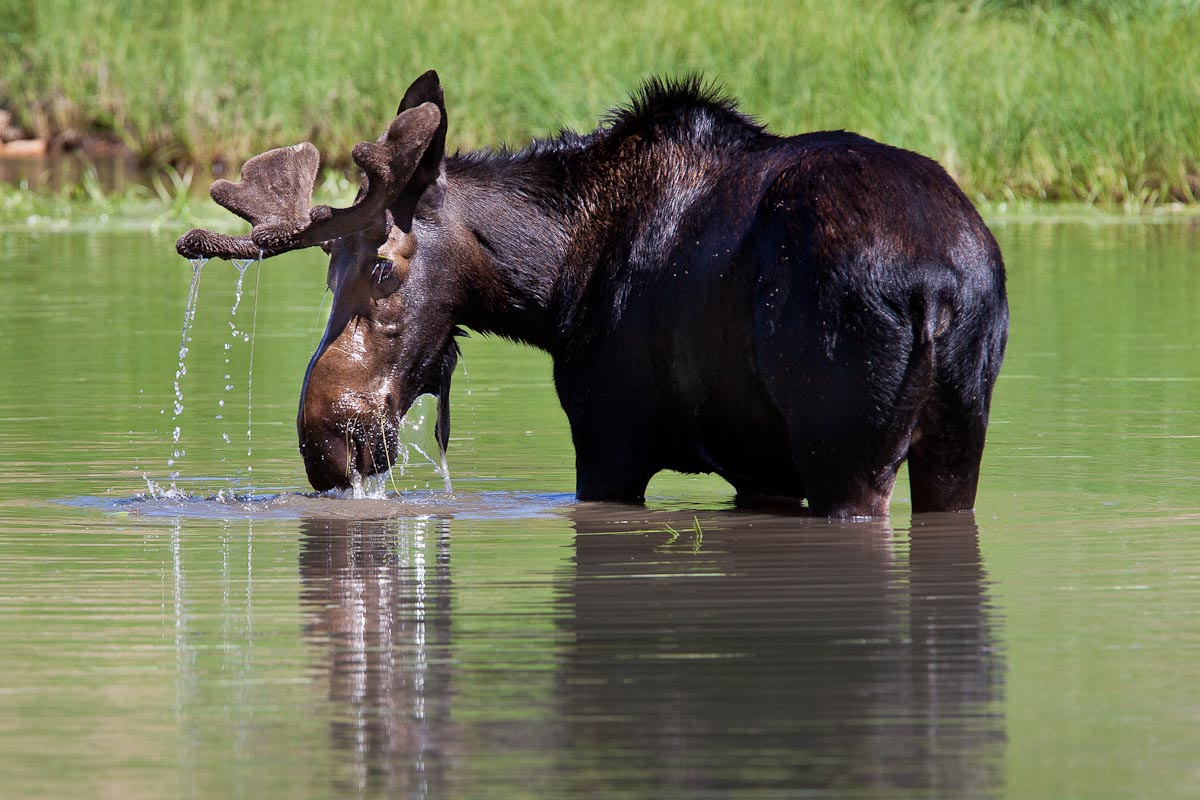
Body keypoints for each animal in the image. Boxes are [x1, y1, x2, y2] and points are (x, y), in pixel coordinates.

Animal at [177, 71, 1008, 518]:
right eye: (328, 272)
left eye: (382, 267)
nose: (324, 439)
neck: (553, 289)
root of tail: (937, 287)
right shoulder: (758, 464)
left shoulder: (610, 433)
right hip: (959, 434)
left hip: (844, 443)